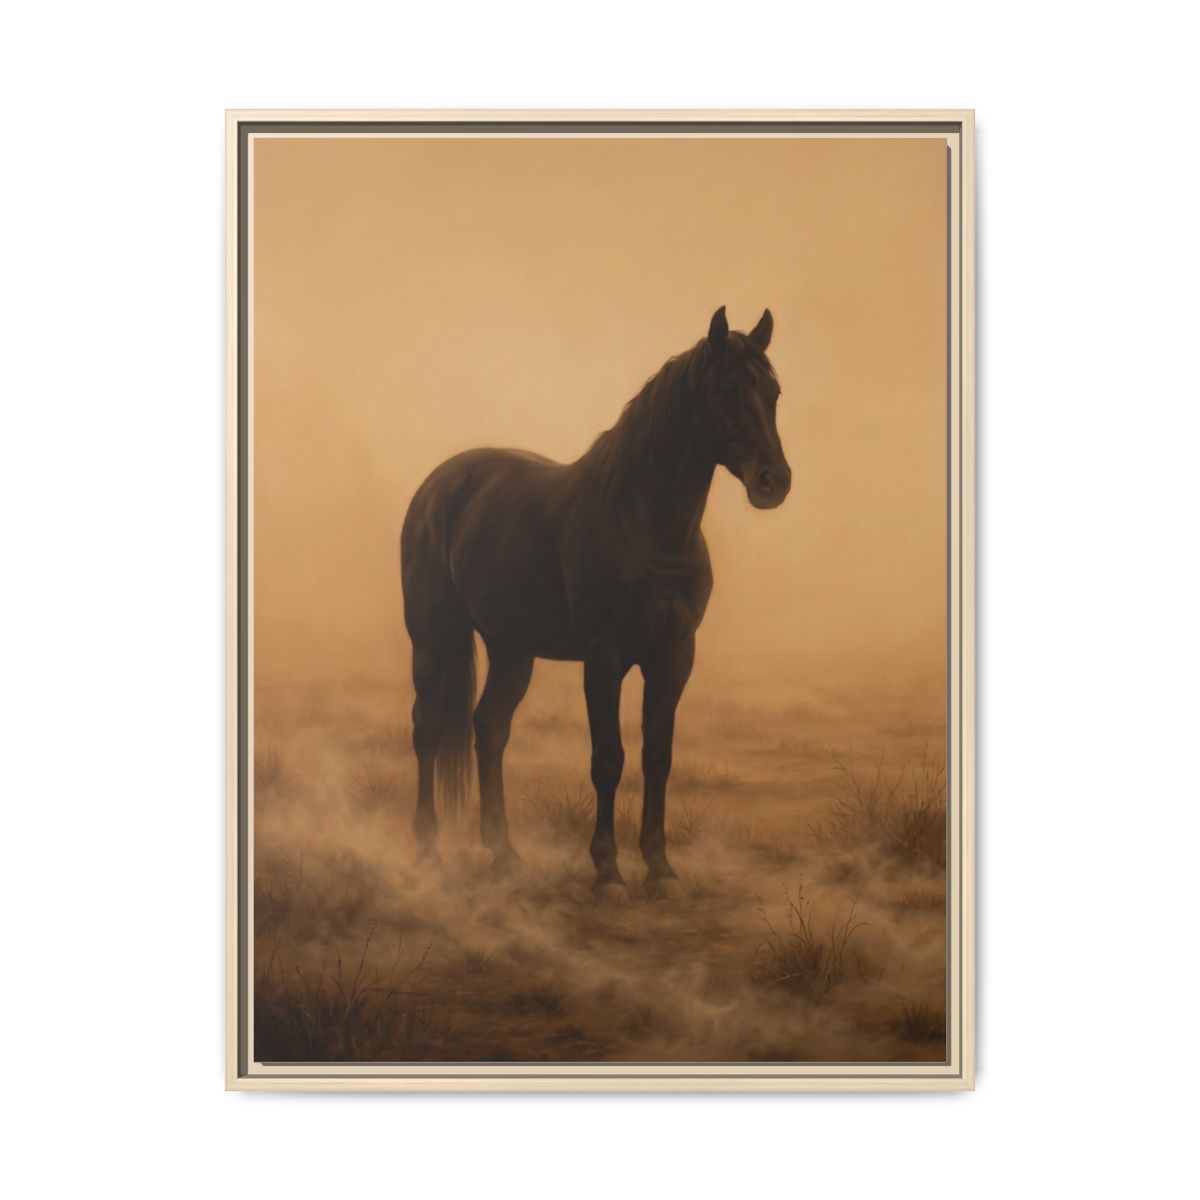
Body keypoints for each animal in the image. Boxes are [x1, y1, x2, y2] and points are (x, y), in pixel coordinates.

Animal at [400, 306, 791, 896]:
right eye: (726, 390)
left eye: (773, 392)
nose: (774, 481)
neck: (644, 527)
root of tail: (440, 484)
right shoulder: (604, 659)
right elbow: (608, 758)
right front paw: (607, 871)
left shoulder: (674, 656)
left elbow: (658, 755)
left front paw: (660, 868)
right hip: (433, 635)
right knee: (427, 728)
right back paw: (426, 851)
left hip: (511, 648)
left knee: (489, 728)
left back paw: (504, 853)